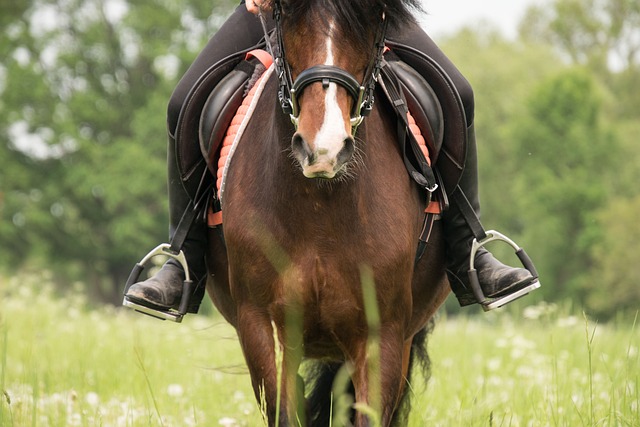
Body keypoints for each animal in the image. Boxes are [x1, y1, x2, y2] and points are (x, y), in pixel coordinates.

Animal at [205, 0, 450, 424]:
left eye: (372, 24)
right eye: (288, 18)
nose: (324, 149)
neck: (320, 210)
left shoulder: (382, 334)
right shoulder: (262, 324)